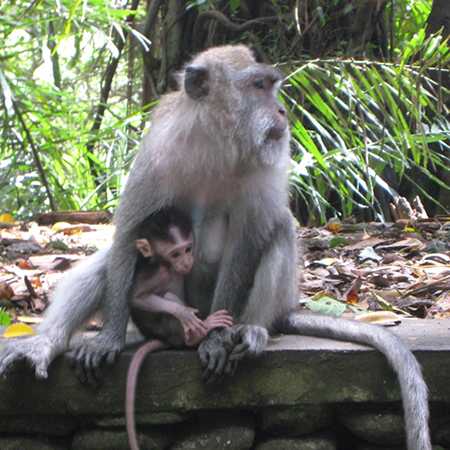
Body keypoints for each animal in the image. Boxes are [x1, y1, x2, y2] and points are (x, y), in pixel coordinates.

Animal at [126, 209, 232, 450]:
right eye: (175, 254)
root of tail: (165, 338)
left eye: (188, 249)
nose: (187, 261)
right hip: (170, 328)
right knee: (167, 300)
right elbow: (137, 298)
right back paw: (198, 333)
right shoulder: (158, 271)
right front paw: (185, 313)